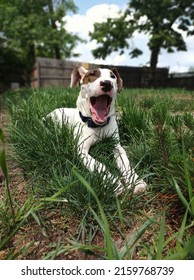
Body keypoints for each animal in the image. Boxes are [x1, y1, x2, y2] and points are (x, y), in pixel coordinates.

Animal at [46, 66, 146, 194]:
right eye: (92, 74)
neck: (98, 127)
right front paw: (115, 184)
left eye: (113, 76)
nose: (107, 83)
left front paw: (136, 181)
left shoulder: (116, 146)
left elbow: (126, 163)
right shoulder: (81, 150)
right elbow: (99, 165)